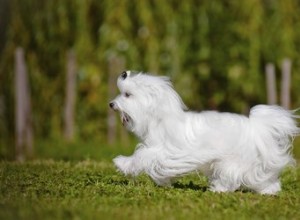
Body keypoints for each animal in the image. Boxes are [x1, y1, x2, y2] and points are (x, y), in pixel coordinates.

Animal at [110, 70, 300, 194]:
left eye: (127, 95)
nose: (111, 104)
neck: (159, 117)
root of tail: (256, 128)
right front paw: (163, 181)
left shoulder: (165, 151)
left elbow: (142, 156)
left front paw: (122, 163)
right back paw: (269, 190)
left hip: (233, 161)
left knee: (232, 176)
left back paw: (219, 189)